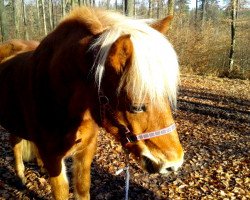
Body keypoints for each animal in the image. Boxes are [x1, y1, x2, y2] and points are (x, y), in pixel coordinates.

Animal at [0, 6, 184, 200]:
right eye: (136, 107)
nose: (174, 163)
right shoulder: (54, 158)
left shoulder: (86, 152)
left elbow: (82, 189)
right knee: (15, 143)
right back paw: (20, 175)